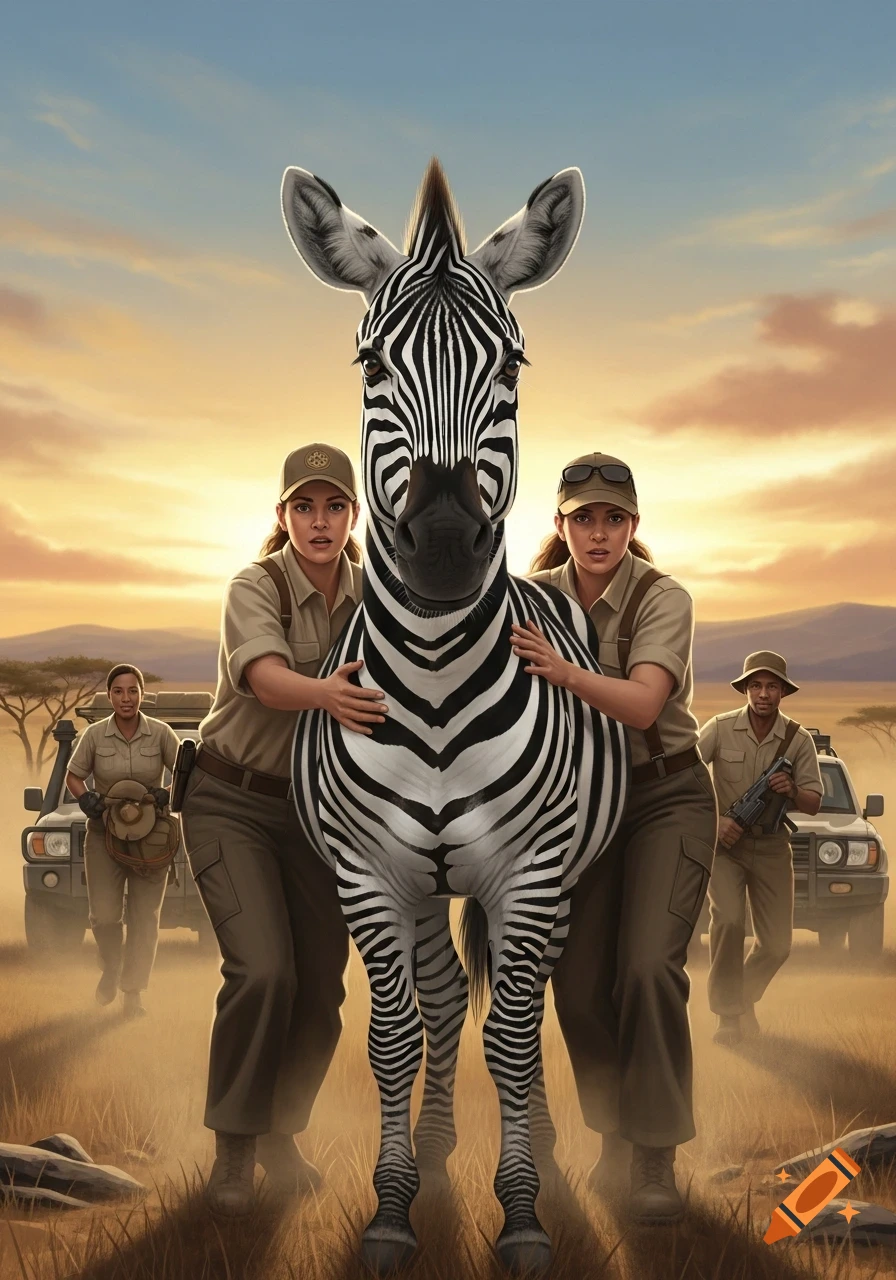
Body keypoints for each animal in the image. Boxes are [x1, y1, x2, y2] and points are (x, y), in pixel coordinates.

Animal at [281, 159, 629, 1275]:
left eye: (511, 364)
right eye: (368, 363)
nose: (440, 544)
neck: (432, 685)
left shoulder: (531, 871)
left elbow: (513, 1037)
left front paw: (521, 1211)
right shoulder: (366, 871)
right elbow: (394, 1035)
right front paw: (393, 1207)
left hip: (553, 880)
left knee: (528, 1001)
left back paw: (542, 1149)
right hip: (423, 883)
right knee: (435, 998)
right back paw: (429, 1149)